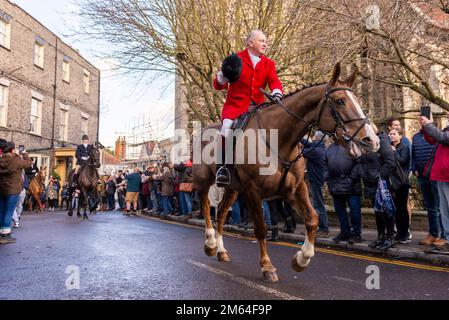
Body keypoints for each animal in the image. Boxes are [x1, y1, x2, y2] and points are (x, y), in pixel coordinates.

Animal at [191, 63, 380, 282]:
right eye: (340, 101)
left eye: (357, 100)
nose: (372, 140)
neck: (280, 140)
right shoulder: (253, 191)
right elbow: (261, 229)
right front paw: (267, 266)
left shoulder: (296, 188)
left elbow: (313, 219)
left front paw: (301, 259)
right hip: (204, 181)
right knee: (206, 208)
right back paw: (210, 243)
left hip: (232, 188)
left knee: (221, 212)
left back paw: (221, 251)